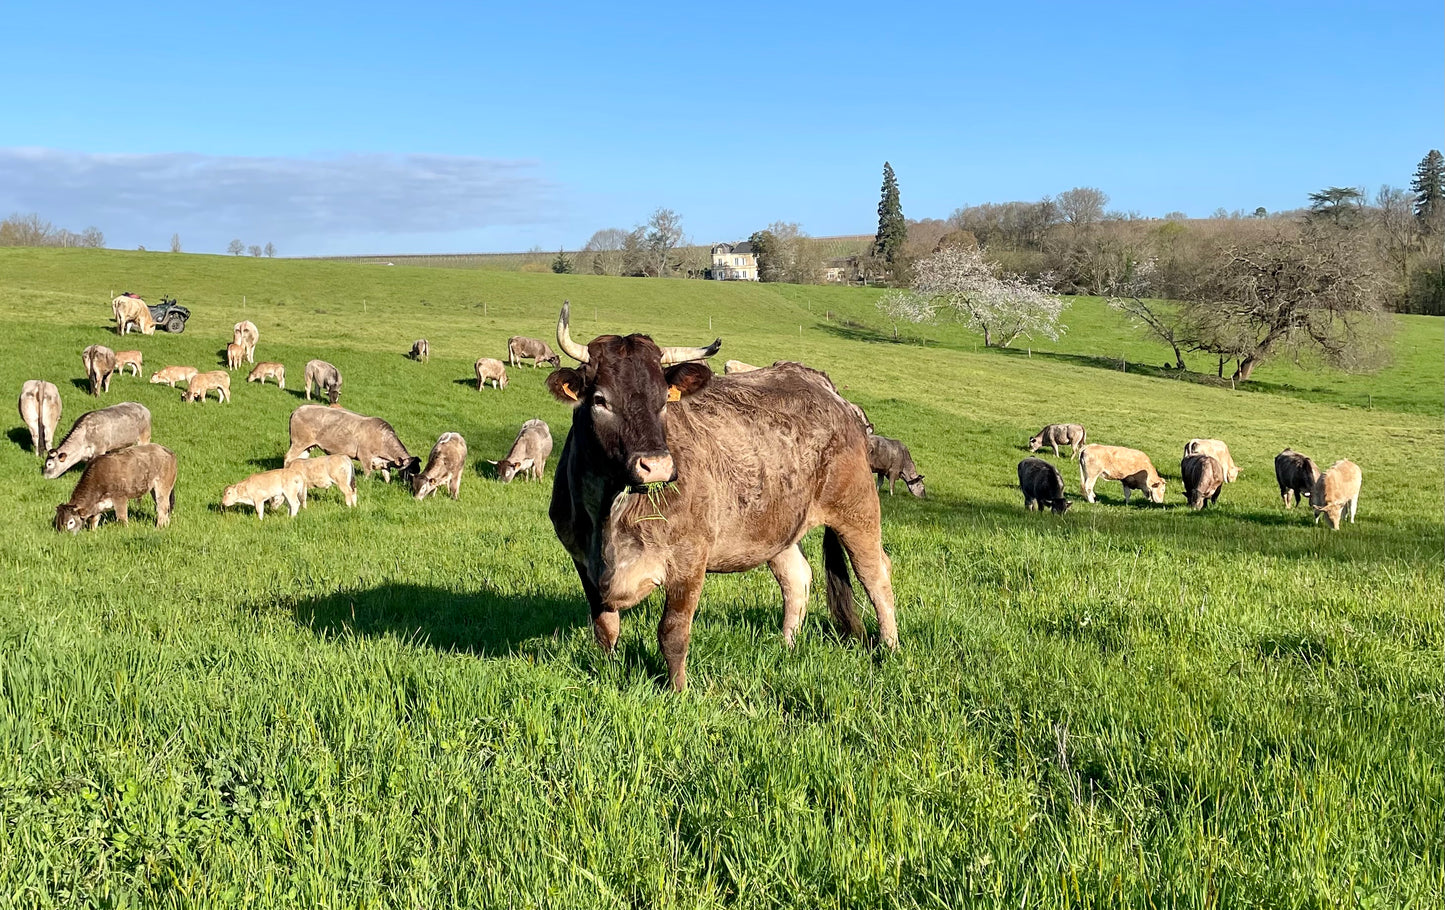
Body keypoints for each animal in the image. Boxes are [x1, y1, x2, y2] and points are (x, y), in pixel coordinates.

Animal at [281, 401, 419, 482]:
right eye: (410, 472)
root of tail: (299, 408)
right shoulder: (365, 455)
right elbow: (368, 472)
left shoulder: (384, 462)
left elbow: (386, 475)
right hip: (299, 442)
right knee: (288, 457)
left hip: (306, 445)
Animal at [546, 299, 895, 690]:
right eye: (600, 399)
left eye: (663, 400)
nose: (657, 465)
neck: (608, 514)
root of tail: (824, 386)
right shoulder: (582, 560)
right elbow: (605, 628)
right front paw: (606, 672)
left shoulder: (689, 559)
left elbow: (672, 633)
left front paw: (678, 690)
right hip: (776, 526)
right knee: (797, 579)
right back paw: (786, 645)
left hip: (856, 509)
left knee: (876, 576)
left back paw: (890, 647)